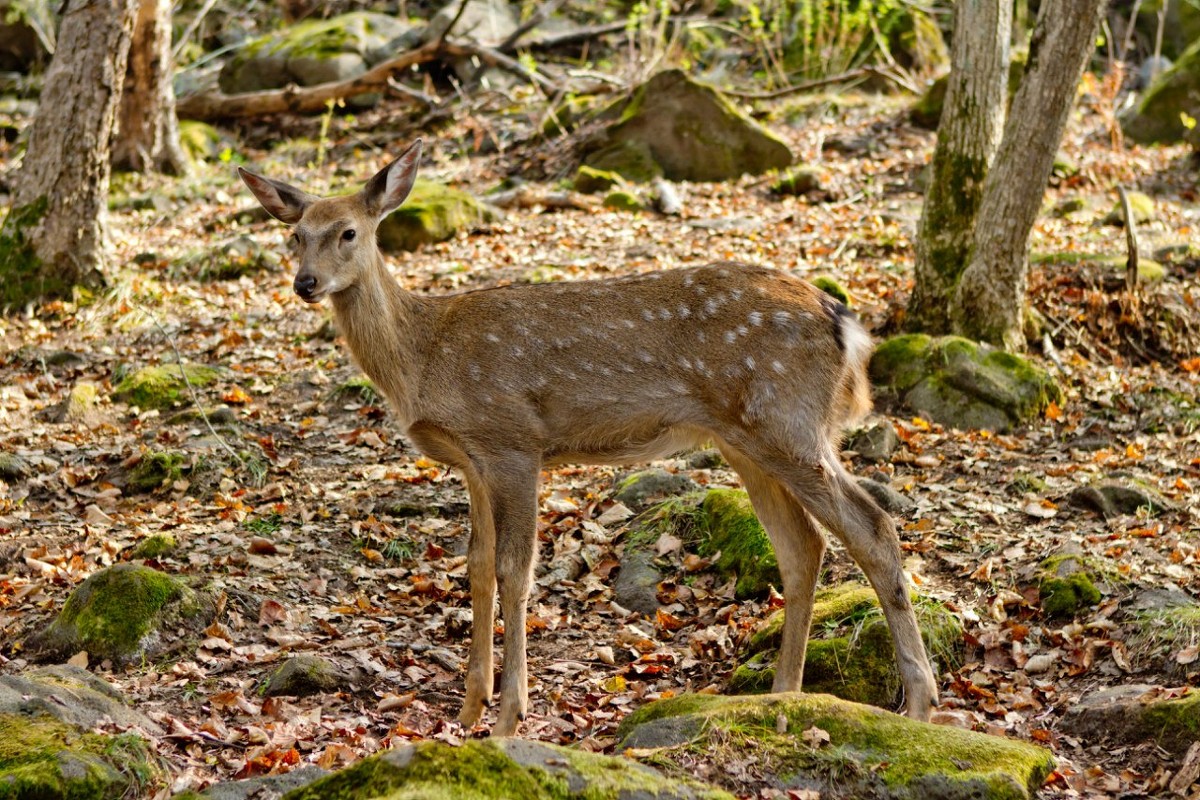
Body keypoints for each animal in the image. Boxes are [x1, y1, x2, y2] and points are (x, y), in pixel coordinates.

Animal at [238, 139, 940, 738]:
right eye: (294, 236)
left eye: (348, 232)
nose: (305, 283)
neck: (423, 356)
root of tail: (845, 322)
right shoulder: (472, 462)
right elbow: (477, 569)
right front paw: (469, 709)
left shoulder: (512, 440)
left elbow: (516, 572)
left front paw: (510, 715)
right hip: (747, 439)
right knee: (803, 547)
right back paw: (781, 697)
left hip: (786, 419)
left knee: (873, 527)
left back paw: (920, 703)